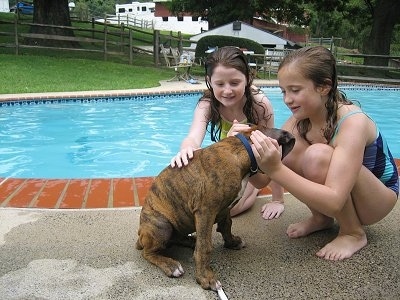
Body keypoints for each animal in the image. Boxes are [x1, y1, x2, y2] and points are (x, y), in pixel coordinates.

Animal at [136, 127, 296, 290]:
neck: (242, 149)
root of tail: (141, 233)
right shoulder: (205, 211)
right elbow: (204, 247)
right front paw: (205, 277)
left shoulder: (225, 209)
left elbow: (227, 225)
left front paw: (232, 242)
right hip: (162, 225)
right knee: (148, 253)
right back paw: (170, 265)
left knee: (177, 238)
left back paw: (190, 241)